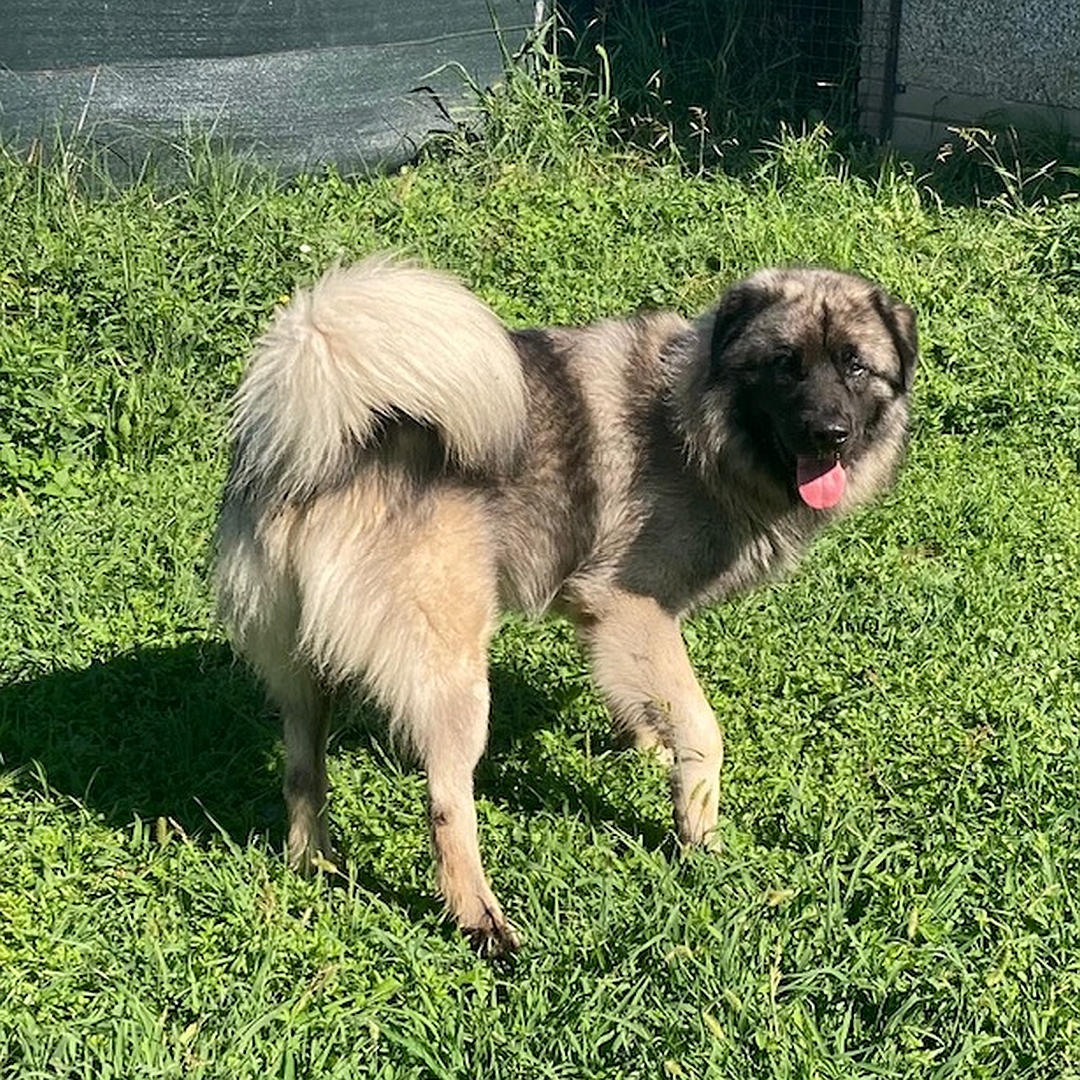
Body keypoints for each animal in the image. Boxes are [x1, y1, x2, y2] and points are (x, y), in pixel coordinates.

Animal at [212, 254, 920, 954]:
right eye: (784, 364)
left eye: (856, 366)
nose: (829, 434)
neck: (693, 423)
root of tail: (318, 440)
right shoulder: (632, 607)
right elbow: (701, 730)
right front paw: (699, 833)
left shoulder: (606, 621)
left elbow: (641, 703)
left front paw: (647, 750)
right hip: (455, 678)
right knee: (447, 803)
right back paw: (481, 920)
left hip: (302, 670)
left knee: (303, 769)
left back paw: (314, 861)